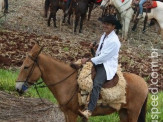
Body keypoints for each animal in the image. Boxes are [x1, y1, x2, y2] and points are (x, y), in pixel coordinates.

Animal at [15, 43, 149, 121]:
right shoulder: (67, 113)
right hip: (123, 112)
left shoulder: (72, 114)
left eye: (26, 67)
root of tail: (145, 83)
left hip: (133, 113)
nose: (17, 88)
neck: (67, 83)